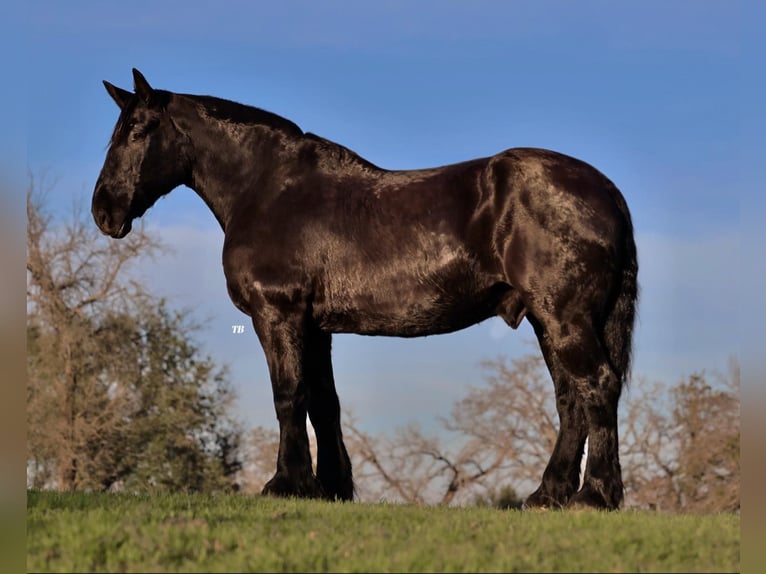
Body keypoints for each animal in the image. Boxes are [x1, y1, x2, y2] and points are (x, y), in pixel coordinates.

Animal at [93, 70, 640, 510]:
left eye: (139, 130)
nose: (104, 211)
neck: (268, 189)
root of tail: (606, 190)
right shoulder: (315, 327)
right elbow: (322, 401)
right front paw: (331, 486)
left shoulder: (278, 315)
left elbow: (288, 395)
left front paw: (286, 484)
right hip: (550, 321)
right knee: (570, 399)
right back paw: (547, 494)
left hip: (563, 317)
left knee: (597, 386)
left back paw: (595, 495)